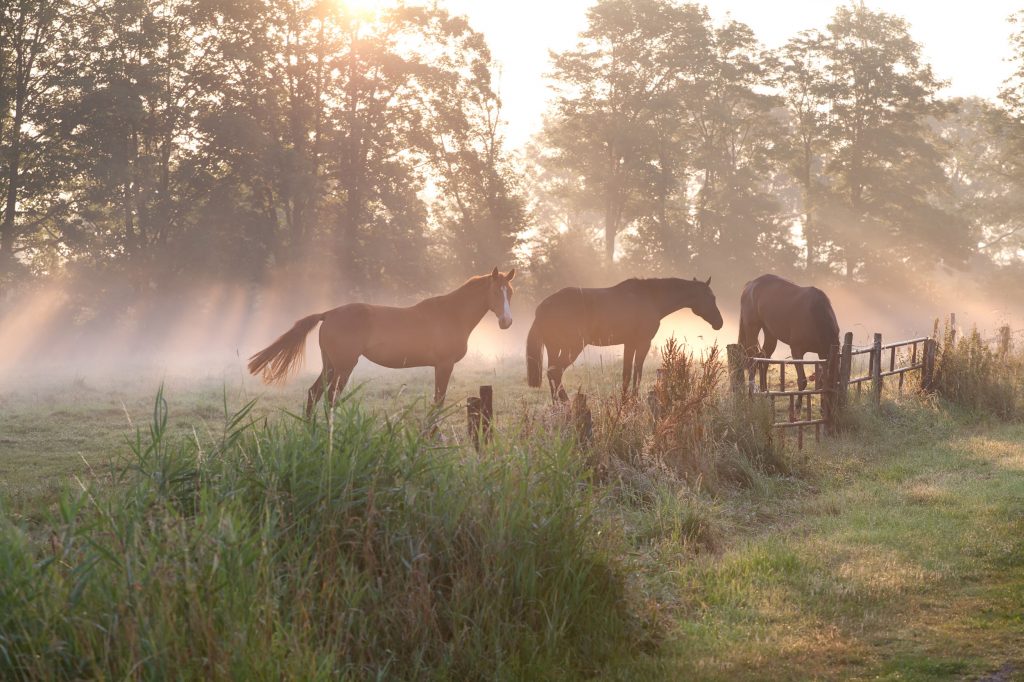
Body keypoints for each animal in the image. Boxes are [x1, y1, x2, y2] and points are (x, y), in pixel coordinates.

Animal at [248, 266, 520, 413]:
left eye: (510, 292)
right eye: (496, 292)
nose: (507, 322)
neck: (451, 314)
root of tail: (329, 314)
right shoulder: (444, 365)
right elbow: (438, 403)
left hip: (330, 366)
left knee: (314, 395)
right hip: (344, 368)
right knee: (330, 398)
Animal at [524, 274, 724, 399]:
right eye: (711, 297)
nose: (720, 323)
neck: (651, 297)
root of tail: (543, 307)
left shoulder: (629, 344)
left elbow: (626, 374)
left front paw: (625, 400)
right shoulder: (643, 343)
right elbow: (637, 371)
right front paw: (634, 400)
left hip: (554, 347)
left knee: (551, 374)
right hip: (572, 347)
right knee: (555, 372)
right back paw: (565, 403)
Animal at [737, 270, 839, 399]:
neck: (815, 315)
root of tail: (750, 285)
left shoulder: (822, 353)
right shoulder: (796, 351)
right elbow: (802, 381)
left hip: (770, 333)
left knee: (764, 357)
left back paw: (764, 392)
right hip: (752, 328)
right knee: (752, 357)